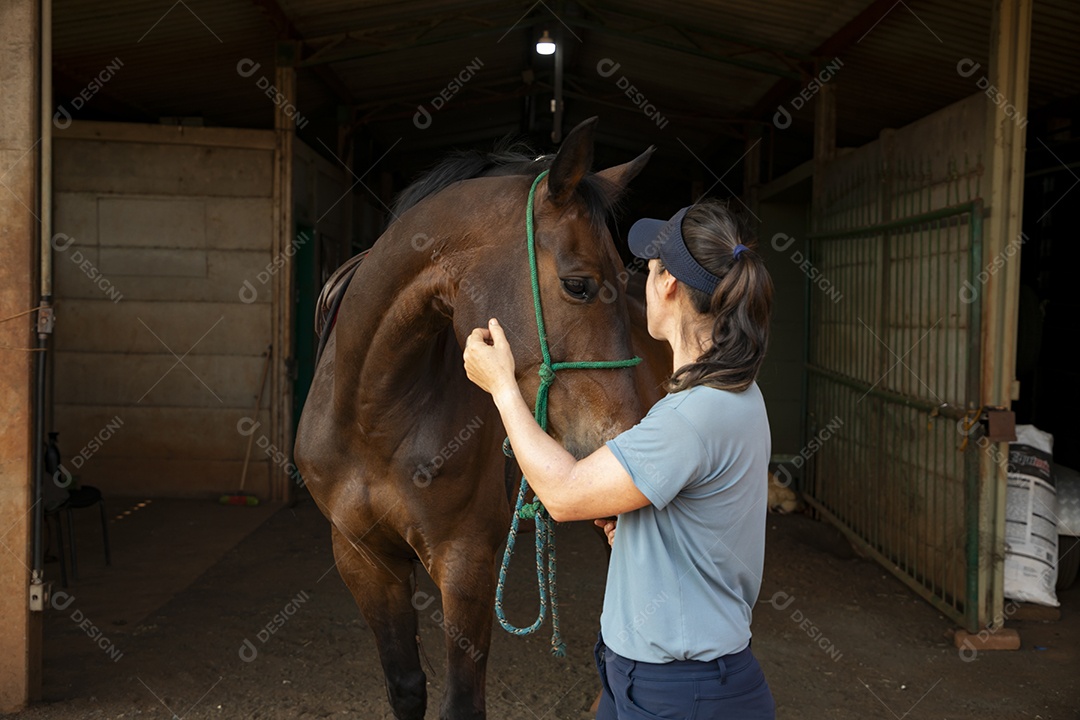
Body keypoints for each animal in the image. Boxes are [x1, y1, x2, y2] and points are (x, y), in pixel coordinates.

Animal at [294, 117, 664, 720]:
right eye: (579, 284)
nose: (625, 439)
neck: (375, 414)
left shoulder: (464, 561)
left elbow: (462, 702)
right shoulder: (362, 557)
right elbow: (405, 686)